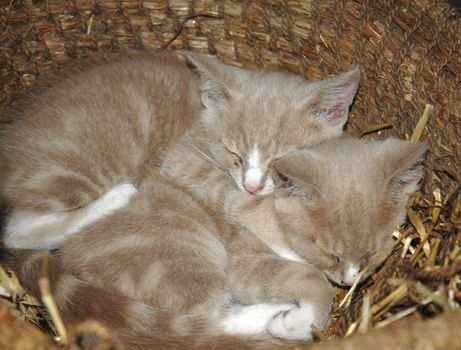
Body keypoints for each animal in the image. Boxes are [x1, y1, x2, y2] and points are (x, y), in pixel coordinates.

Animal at [0, 50, 360, 250]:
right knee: (18, 231)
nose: (252, 185)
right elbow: (240, 201)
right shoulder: (182, 159)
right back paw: (117, 197)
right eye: (235, 156)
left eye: (278, 161)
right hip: (83, 163)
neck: (201, 114)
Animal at [0, 137, 426, 350]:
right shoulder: (242, 262)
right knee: (206, 321)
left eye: (372, 254)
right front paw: (301, 318)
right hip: (183, 249)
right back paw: (273, 319)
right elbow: (308, 279)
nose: (349, 279)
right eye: (330, 253)